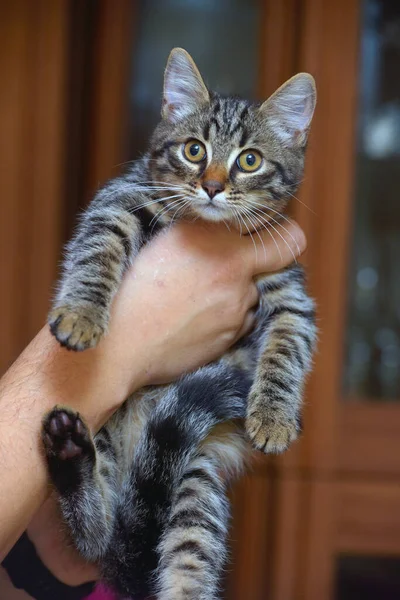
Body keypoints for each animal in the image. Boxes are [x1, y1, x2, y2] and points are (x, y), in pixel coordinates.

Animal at [43, 48, 316, 600]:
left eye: (249, 160)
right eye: (194, 150)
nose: (211, 186)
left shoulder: (289, 291)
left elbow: (287, 344)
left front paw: (274, 416)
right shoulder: (121, 199)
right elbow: (97, 247)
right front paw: (82, 313)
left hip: (194, 483)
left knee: (180, 553)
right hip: (109, 427)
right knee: (96, 538)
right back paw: (73, 463)